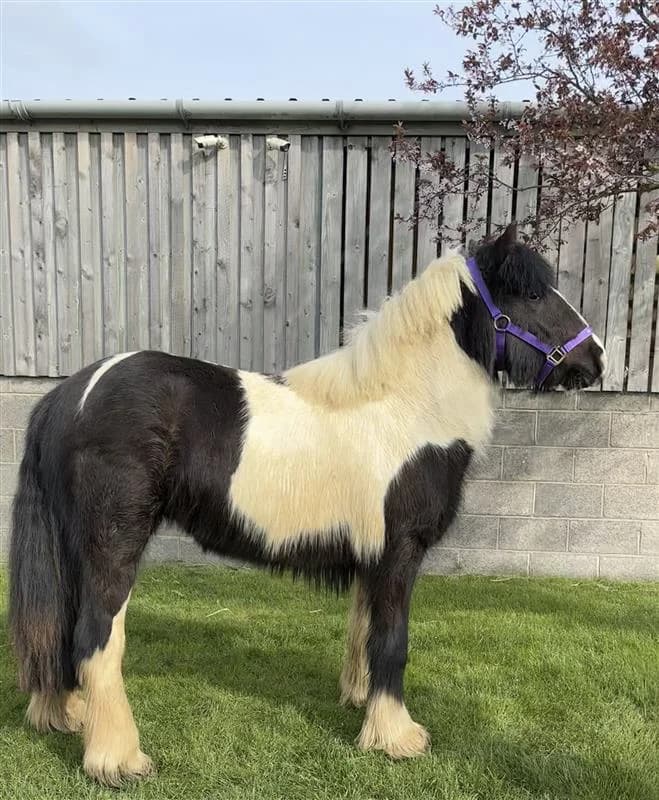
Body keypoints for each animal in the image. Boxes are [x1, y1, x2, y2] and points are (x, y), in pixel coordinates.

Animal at [9, 223, 606, 785]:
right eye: (532, 294)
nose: (596, 358)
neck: (405, 406)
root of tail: (72, 393)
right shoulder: (401, 551)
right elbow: (394, 640)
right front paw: (397, 738)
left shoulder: (373, 557)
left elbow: (365, 631)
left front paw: (362, 705)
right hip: (115, 543)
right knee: (95, 635)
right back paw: (118, 759)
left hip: (74, 547)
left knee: (59, 626)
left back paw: (66, 716)